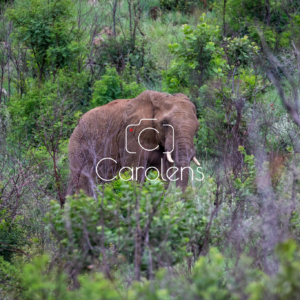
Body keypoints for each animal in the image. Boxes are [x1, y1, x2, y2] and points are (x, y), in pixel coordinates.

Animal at [67, 89, 200, 197]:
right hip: (77, 148)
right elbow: (134, 174)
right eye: (164, 124)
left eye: (197, 127)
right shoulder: (129, 135)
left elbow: (162, 176)